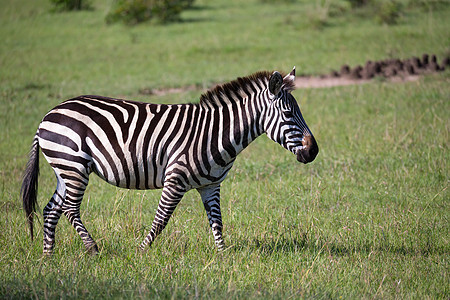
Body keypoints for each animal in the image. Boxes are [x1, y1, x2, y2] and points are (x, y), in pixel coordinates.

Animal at [20, 68, 316, 255]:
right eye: (288, 114)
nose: (313, 152)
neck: (216, 133)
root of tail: (48, 115)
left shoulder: (211, 185)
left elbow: (217, 221)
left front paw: (223, 256)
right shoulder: (175, 180)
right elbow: (161, 220)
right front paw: (141, 252)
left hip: (64, 169)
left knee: (51, 209)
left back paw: (48, 256)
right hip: (74, 166)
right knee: (70, 209)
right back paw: (92, 249)